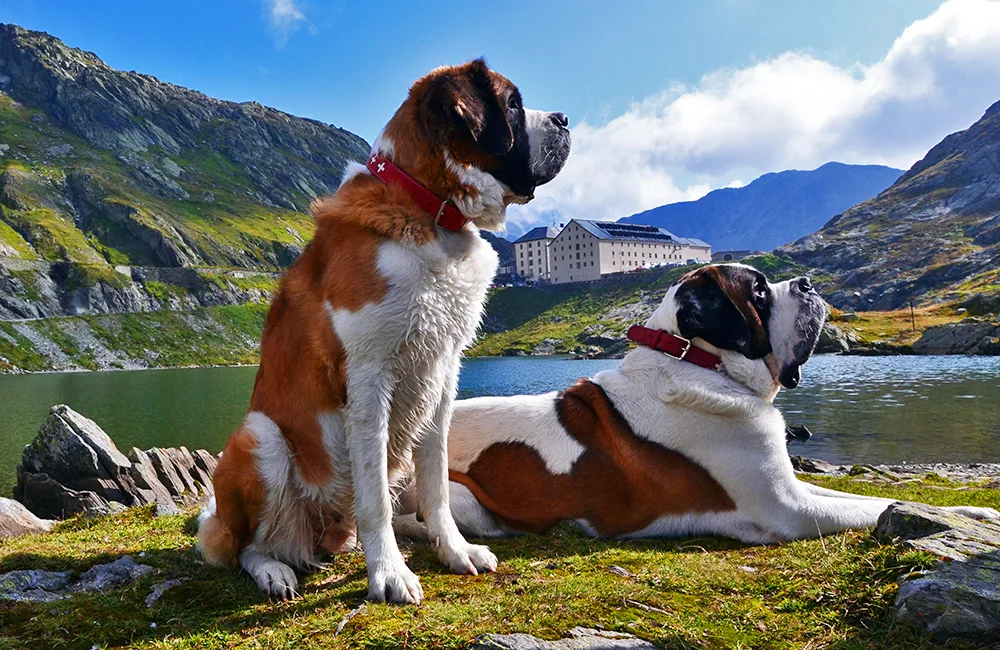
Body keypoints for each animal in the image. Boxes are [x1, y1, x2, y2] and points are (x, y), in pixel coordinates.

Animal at [197, 60, 572, 604]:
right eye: (513, 104)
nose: (564, 118)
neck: (429, 206)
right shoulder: (371, 376)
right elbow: (374, 494)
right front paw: (390, 574)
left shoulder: (442, 373)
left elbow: (436, 483)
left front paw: (453, 550)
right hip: (259, 437)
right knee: (247, 545)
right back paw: (273, 571)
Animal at [394, 264, 996, 540]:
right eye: (758, 291)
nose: (806, 282)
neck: (698, 360)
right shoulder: (788, 509)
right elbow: (863, 507)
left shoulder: (791, 484)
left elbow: (876, 499)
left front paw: (967, 513)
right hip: (461, 501)